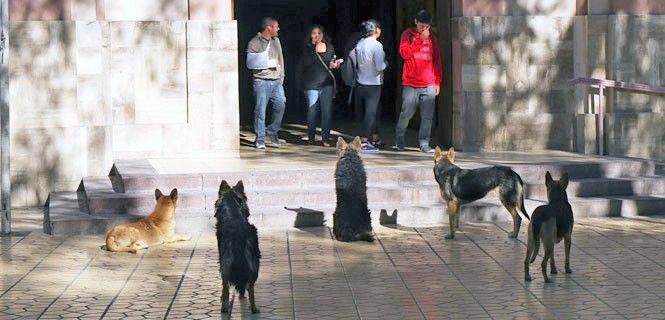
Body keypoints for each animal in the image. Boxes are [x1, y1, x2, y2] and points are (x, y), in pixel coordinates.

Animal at [217, 179, 260, 314]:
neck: (233, 212)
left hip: (225, 265)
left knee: (226, 286)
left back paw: (225, 307)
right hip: (254, 263)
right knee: (250, 286)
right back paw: (253, 307)